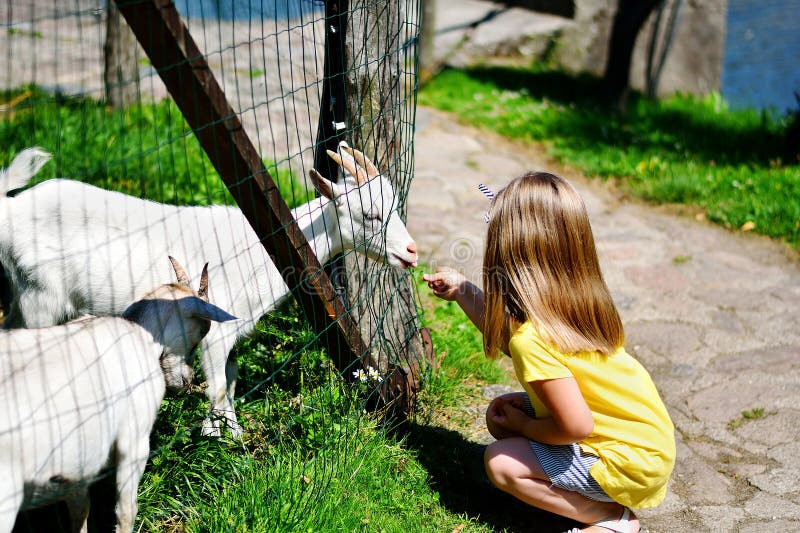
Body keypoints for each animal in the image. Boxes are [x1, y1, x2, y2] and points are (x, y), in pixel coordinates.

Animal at [0, 142, 422, 436]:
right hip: (40, 298)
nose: (411, 252)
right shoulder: (216, 329)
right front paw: (222, 443)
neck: (262, 248)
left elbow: (230, 382)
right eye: (370, 215)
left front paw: (227, 436)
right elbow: (218, 388)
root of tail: (11, 210)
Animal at [0, 256, 238, 528]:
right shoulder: (134, 439)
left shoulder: (78, 469)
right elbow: (126, 510)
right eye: (202, 331)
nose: (187, 381)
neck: (140, 333)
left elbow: (80, 509)